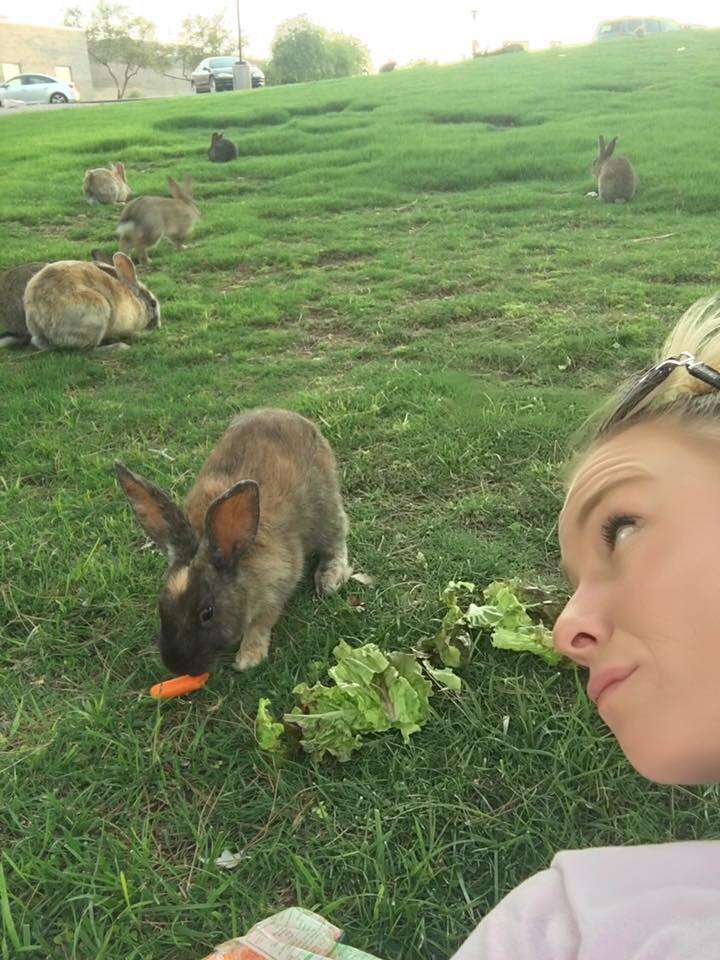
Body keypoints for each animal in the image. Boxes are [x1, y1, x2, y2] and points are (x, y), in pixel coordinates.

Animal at [25, 251, 162, 348]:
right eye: (153, 303)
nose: (158, 326)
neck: (137, 301)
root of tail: (40, 321)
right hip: (98, 313)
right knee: (89, 349)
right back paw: (120, 346)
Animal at [115, 406, 352, 676]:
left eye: (207, 613)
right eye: (161, 605)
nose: (177, 667)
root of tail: (290, 415)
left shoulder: (278, 585)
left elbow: (261, 623)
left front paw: (248, 657)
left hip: (325, 507)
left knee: (337, 537)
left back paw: (329, 579)